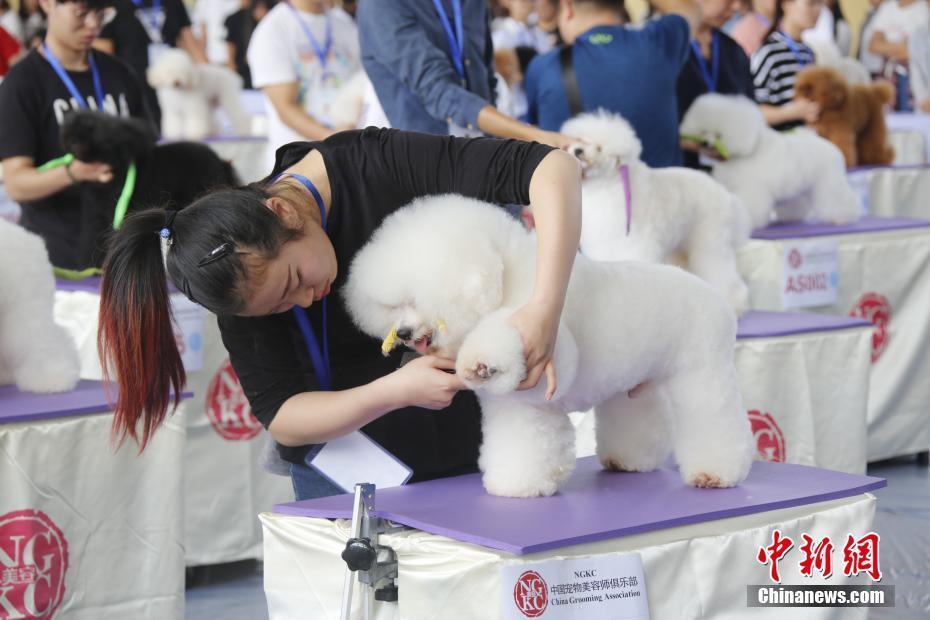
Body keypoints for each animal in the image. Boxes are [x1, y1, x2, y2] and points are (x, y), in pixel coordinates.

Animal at [344, 197, 752, 498]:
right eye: (395, 305)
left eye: (417, 298)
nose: (404, 332)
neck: (509, 281)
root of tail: (712, 296)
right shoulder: (512, 409)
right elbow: (515, 445)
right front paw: (512, 484)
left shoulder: (539, 374)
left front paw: (482, 360)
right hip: (635, 386)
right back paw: (627, 460)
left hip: (702, 374)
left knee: (714, 419)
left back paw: (716, 473)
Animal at [560, 109, 752, 318]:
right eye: (579, 140)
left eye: (599, 148)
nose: (578, 151)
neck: (607, 185)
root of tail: (726, 195)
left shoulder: (633, 247)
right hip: (682, 247)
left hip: (712, 242)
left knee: (722, 272)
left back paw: (735, 305)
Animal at [676, 91, 860, 229]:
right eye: (703, 131)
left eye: (719, 134)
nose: (705, 144)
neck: (748, 150)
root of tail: (829, 146)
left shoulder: (752, 189)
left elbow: (751, 205)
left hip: (829, 180)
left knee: (839, 197)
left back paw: (842, 217)